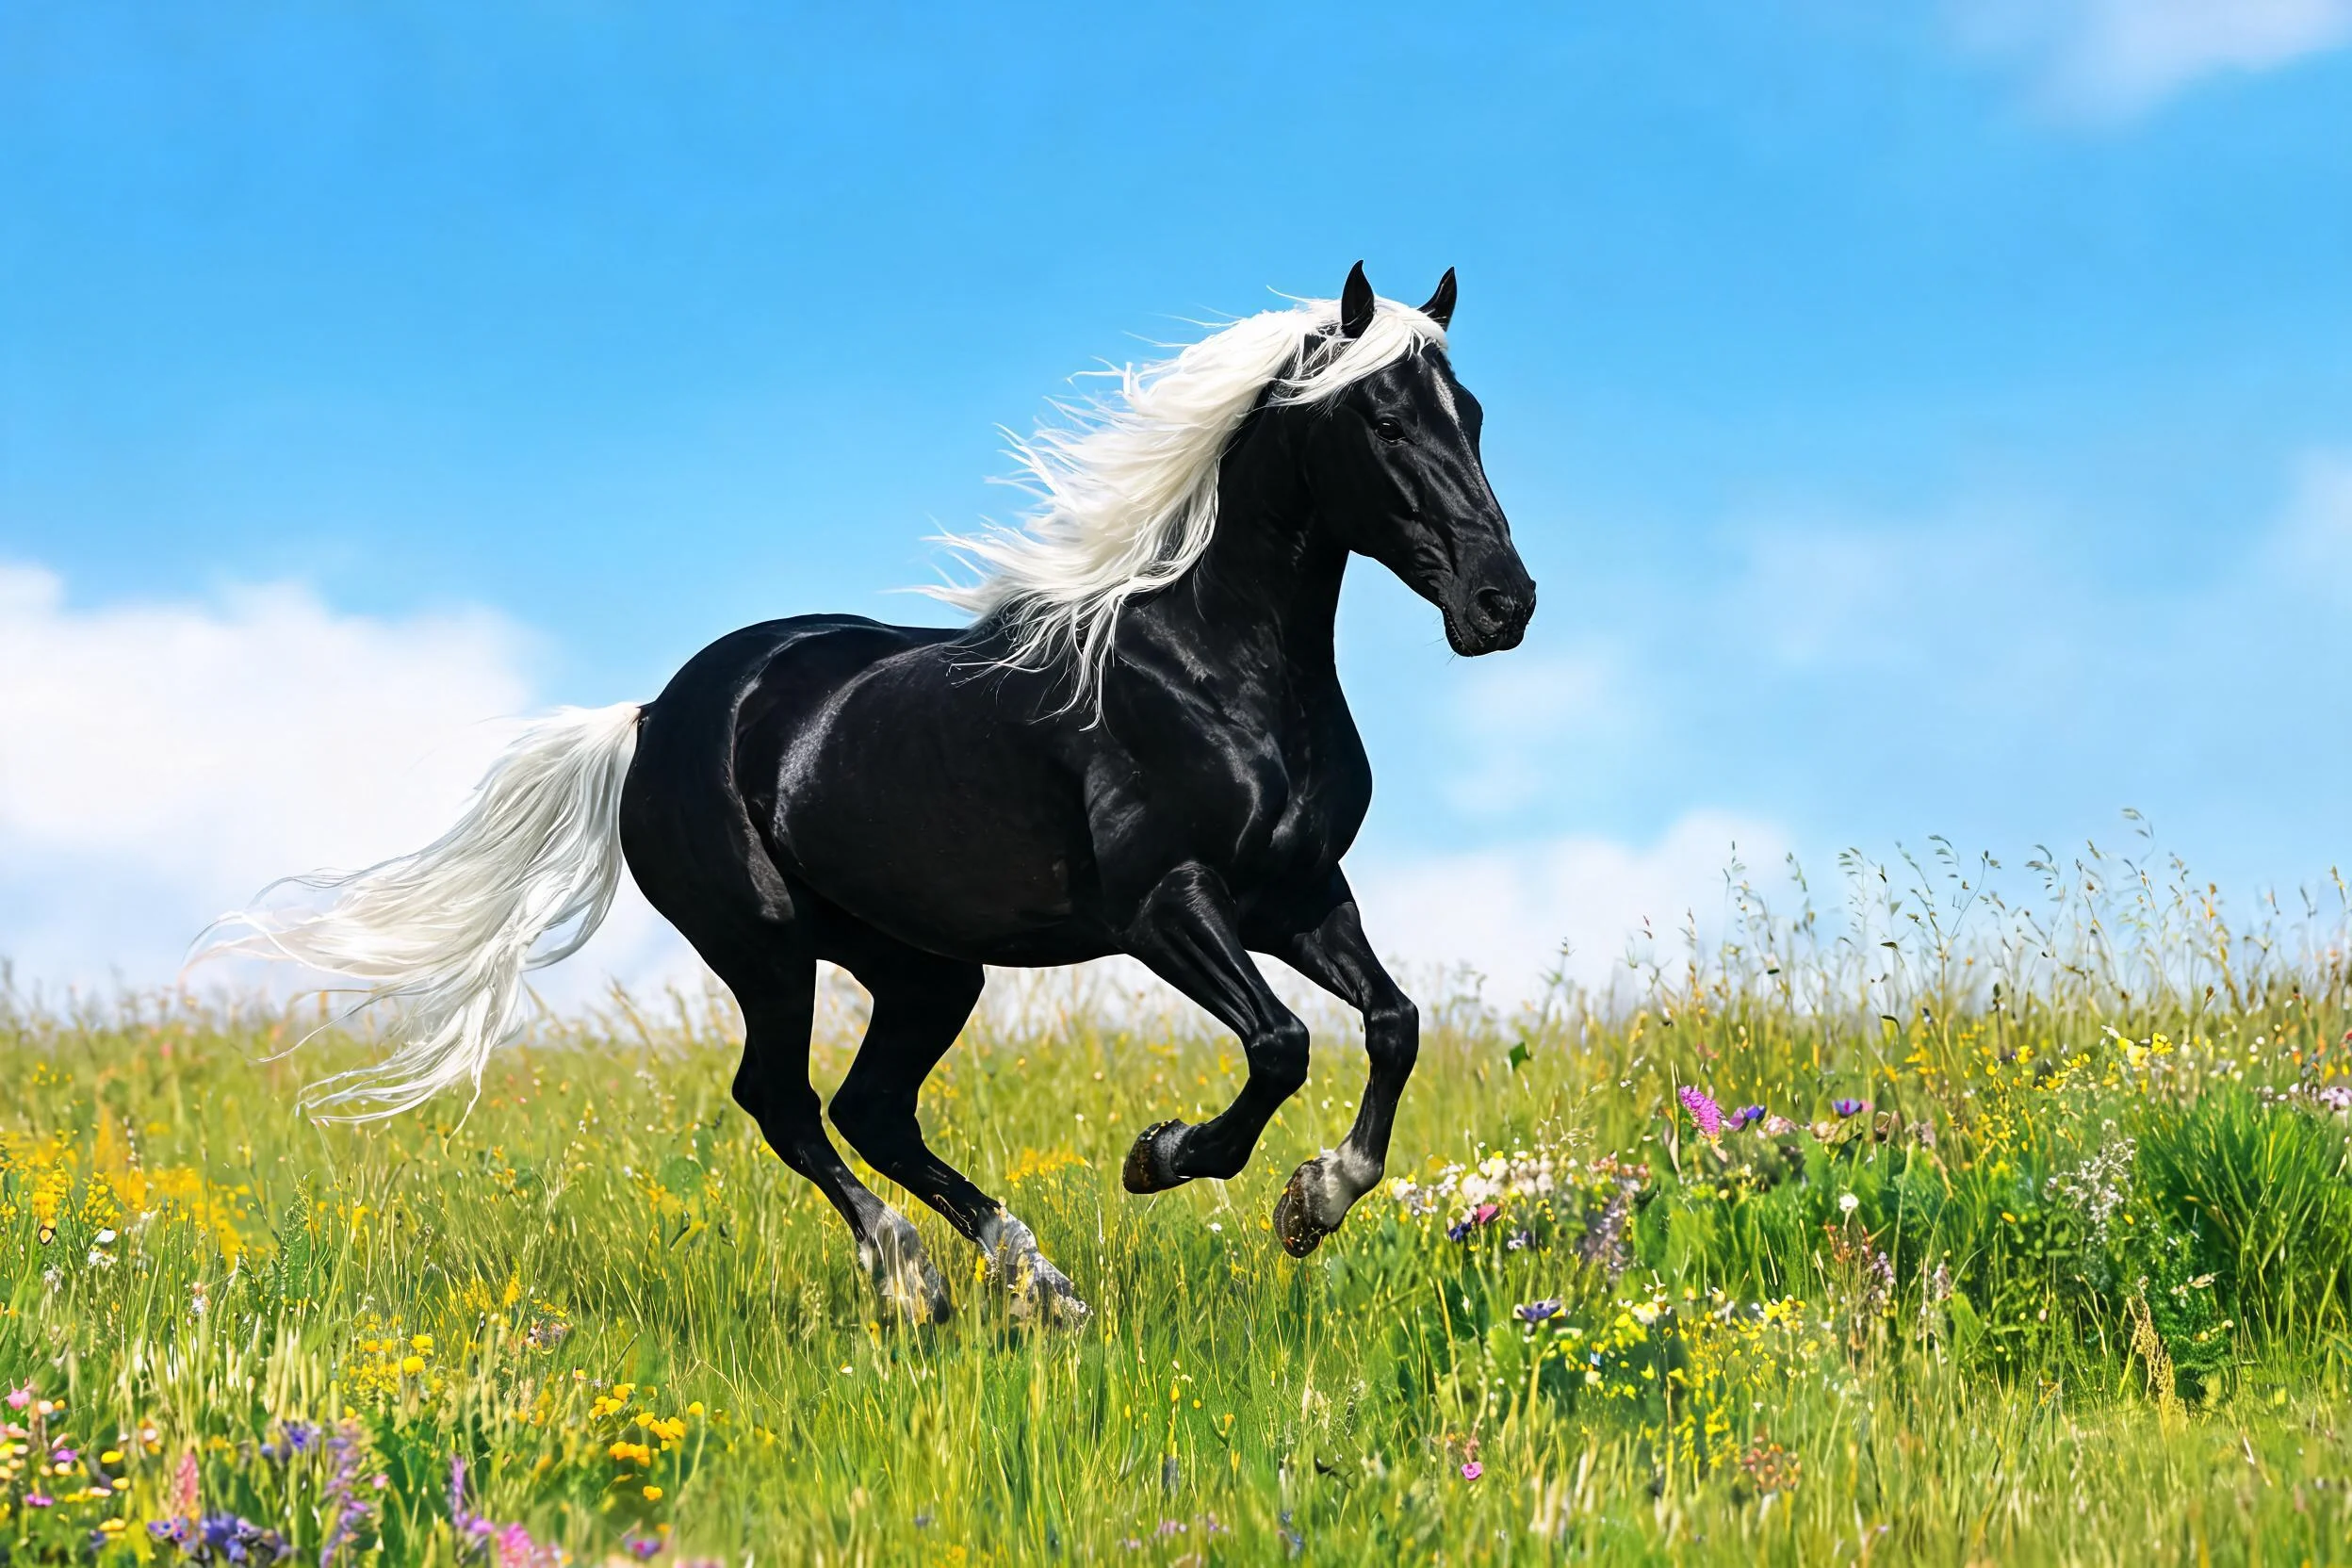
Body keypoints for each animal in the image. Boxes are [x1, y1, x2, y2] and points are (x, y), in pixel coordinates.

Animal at [205, 262, 1535, 1324]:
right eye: (1381, 416)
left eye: (1471, 412)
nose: (1502, 603)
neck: (1215, 665)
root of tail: (652, 717)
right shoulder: (1167, 903)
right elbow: (1278, 1042)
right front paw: (1162, 1157)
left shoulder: (1301, 893)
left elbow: (1392, 1022)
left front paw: (1315, 1199)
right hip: (767, 944)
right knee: (784, 1099)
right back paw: (916, 1276)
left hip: (924, 965)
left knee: (871, 1107)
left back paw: (1037, 1282)